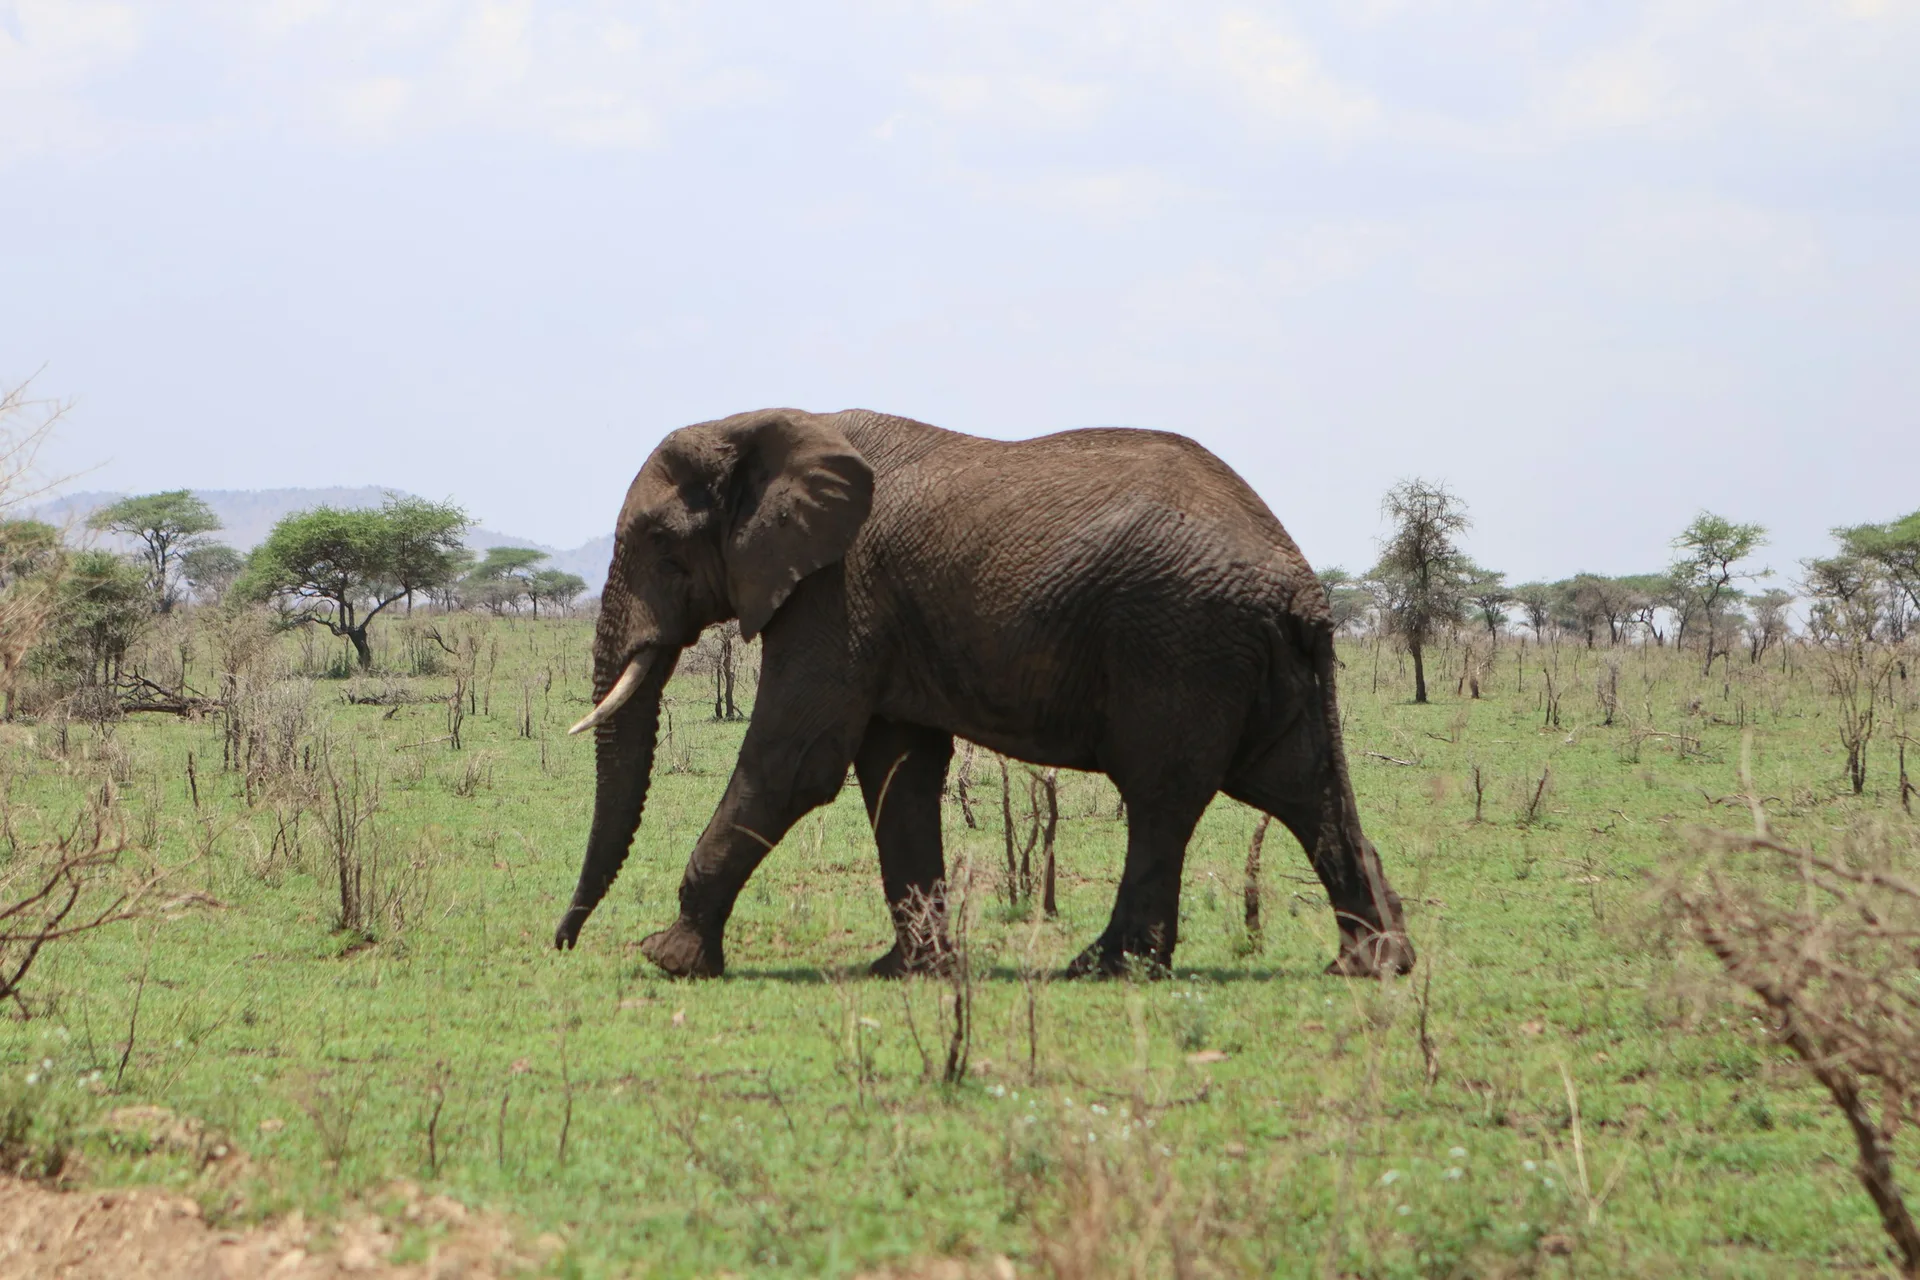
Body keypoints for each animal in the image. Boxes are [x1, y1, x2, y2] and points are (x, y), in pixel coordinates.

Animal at [554, 407, 1413, 980]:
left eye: (660, 544)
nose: (561, 943)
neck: (763, 424)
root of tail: (1301, 582)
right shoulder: (875, 610)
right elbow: (900, 770)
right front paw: (910, 970)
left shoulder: (837, 591)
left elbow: (795, 761)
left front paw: (668, 959)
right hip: (1252, 659)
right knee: (1300, 788)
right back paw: (1373, 966)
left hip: (1181, 642)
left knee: (1163, 795)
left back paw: (1102, 967)